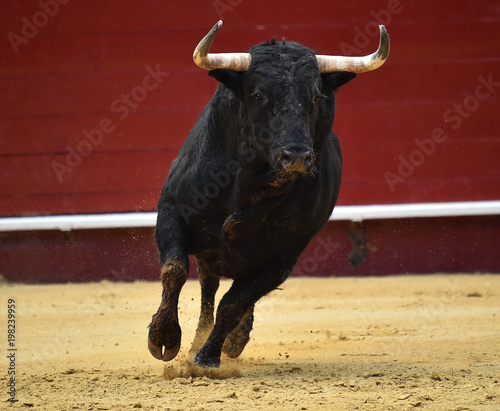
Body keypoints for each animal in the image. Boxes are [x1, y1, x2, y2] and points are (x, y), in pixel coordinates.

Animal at [146, 25, 388, 368]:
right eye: (259, 95)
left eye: (316, 96)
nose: (297, 156)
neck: (250, 181)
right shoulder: (172, 210)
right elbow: (175, 270)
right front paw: (164, 337)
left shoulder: (285, 255)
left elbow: (234, 303)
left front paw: (208, 356)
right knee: (208, 284)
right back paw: (196, 340)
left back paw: (230, 341)